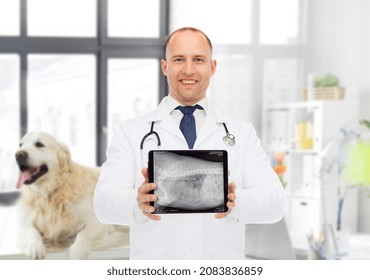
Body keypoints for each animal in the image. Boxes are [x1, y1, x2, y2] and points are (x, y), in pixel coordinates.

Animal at [14, 132, 130, 260]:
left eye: (39, 144)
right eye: (20, 145)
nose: (18, 154)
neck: (51, 191)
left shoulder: (98, 222)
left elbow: (83, 233)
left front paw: (78, 250)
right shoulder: (24, 220)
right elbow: (32, 232)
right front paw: (35, 246)